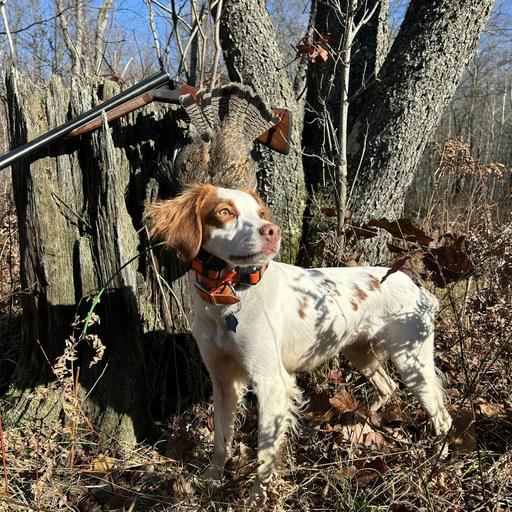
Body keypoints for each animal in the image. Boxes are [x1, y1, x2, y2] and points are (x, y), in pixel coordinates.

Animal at [148, 184, 452, 500]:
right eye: (224, 211)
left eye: (260, 213)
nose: (272, 231)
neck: (227, 298)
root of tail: (416, 286)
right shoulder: (222, 379)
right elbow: (221, 439)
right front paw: (211, 480)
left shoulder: (271, 382)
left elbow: (264, 454)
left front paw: (257, 498)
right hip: (360, 352)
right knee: (387, 385)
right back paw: (364, 423)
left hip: (412, 362)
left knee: (443, 417)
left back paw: (435, 463)